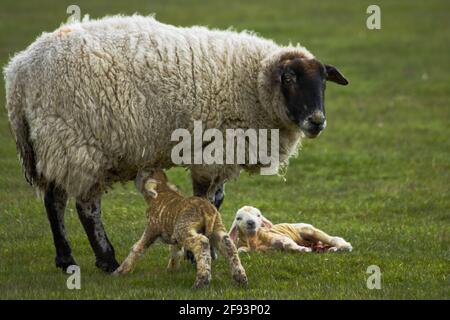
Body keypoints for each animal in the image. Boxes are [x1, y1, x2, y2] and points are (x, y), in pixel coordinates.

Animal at [3, 13, 348, 272]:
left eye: (323, 83)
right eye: (289, 79)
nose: (317, 121)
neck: (253, 84)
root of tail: (18, 72)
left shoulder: (220, 154)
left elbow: (216, 200)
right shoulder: (214, 149)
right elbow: (206, 201)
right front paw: (201, 253)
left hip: (53, 144)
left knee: (54, 200)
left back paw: (66, 259)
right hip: (76, 142)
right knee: (84, 207)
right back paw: (106, 259)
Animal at [112, 169, 246, 288]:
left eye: (146, 172)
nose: (134, 175)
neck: (163, 191)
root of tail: (207, 210)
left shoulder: (152, 227)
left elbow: (138, 247)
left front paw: (121, 271)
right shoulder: (173, 236)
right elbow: (175, 250)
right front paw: (172, 269)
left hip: (184, 227)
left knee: (201, 242)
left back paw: (202, 282)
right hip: (217, 227)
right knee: (228, 245)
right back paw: (240, 278)